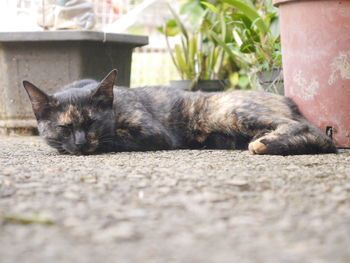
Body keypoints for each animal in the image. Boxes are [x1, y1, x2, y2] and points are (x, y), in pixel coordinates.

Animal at [22, 69, 336, 157]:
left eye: (92, 123)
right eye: (64, 128)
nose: (81, 143)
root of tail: (287, 98)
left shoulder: (154, 134)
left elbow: (115, 139)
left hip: (231, 112)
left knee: (315, 132)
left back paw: (267, 143)